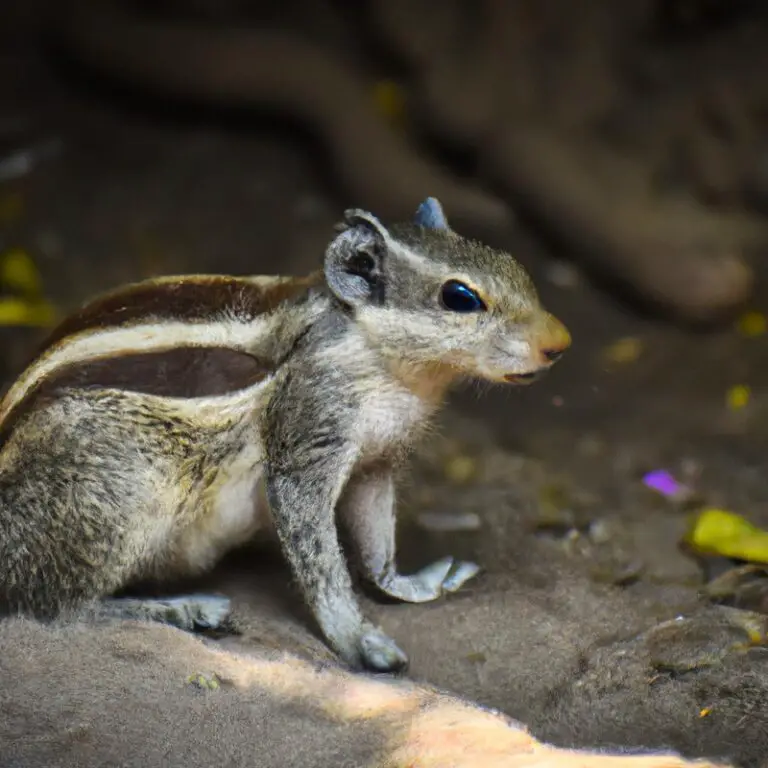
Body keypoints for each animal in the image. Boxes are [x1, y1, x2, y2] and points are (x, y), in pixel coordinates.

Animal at [0, 198, 568, 672]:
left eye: (512, 263)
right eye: (460, 297)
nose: (559, 343)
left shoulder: (377, 459)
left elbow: (376, 535)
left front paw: (407, 583)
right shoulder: (310, 434)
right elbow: (317, 555)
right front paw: (358, 640)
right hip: (116, 491)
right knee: (53, 609)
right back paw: (177, 608)